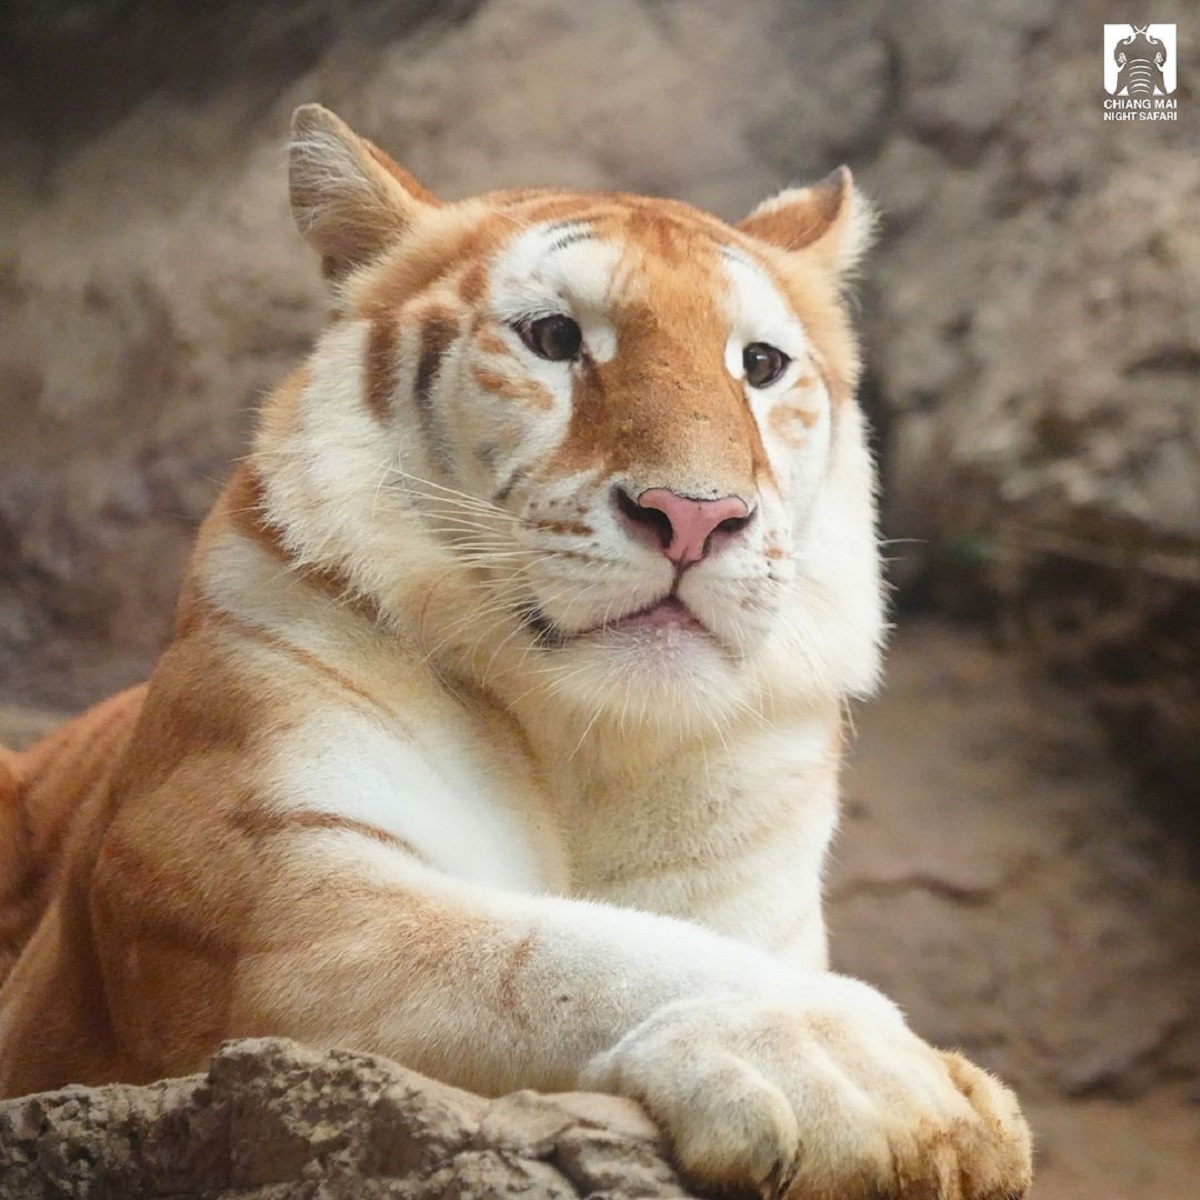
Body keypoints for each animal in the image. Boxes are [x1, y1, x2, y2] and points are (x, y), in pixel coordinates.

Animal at [0, 105, 1032, 1200]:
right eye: (554, 339)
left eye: (759, 365)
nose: (695, 517)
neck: (595, 749)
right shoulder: (259, 898)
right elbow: (558, 952)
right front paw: (871, 1079)